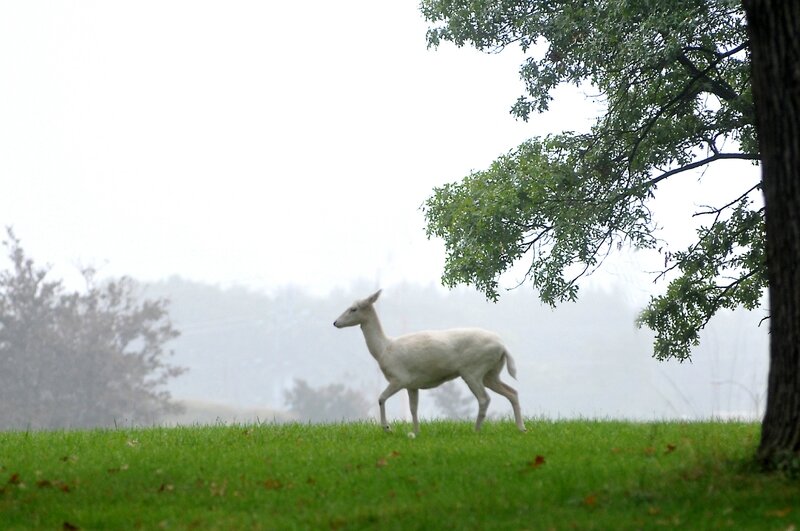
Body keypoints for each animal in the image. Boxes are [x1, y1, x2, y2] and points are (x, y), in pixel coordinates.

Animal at [332, 290, 524, 436]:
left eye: (353, 309)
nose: (335, 322)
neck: (383, 349)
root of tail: (503, 347)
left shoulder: (399, 378)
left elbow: (381, 398)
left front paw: (387, 428)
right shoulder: (412, 384)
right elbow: (413, 408)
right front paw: (415, 433)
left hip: (473, 370)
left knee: (484, 398)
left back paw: (475, 430)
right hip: (491, 372)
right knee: (512, 392)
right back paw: (521, 428)